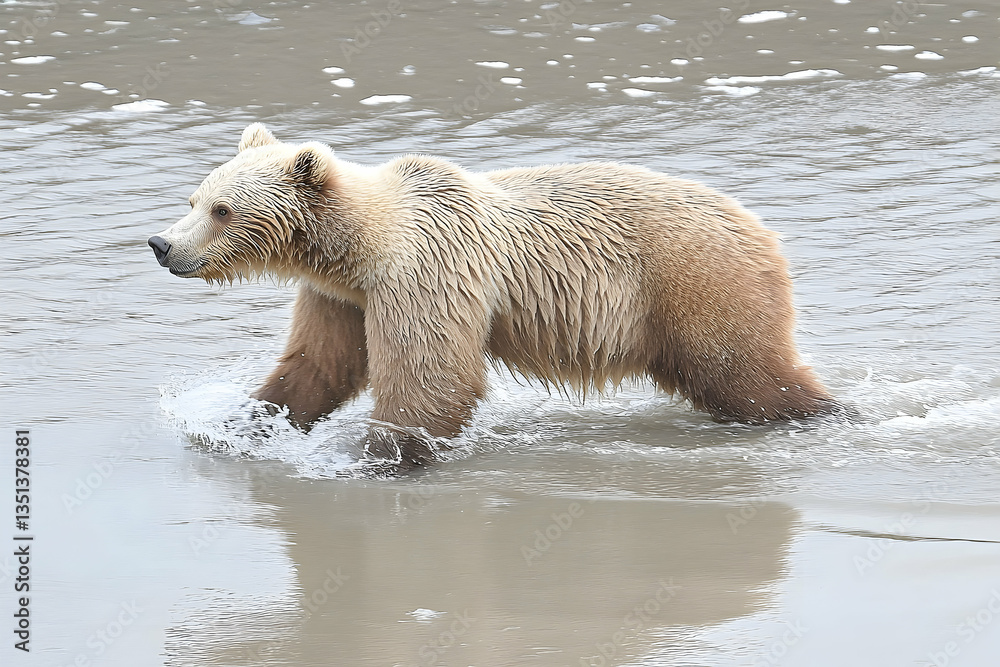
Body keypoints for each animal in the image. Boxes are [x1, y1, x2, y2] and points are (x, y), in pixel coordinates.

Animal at [149, 123, 834, 467]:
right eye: (194, 199)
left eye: (222, 209)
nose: (162, 244)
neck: (361, 247)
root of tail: (761, 228)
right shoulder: (340, 296)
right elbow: (320, 364)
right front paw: (242, 420)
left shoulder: (426, 270)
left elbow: (430, 375)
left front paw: (380, 452)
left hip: (697, 280)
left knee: (746, 372)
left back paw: (818, 411)